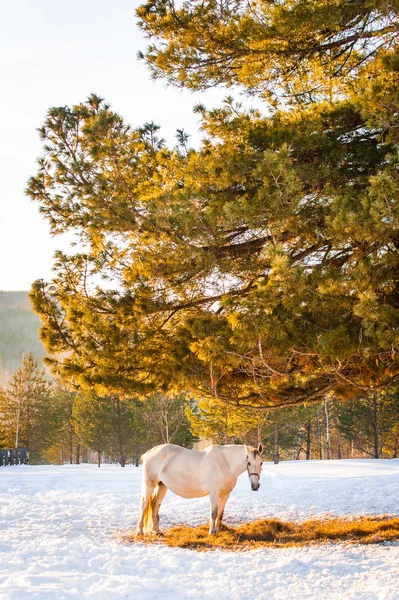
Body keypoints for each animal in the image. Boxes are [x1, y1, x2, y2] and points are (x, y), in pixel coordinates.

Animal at [136, 442, 264, 536]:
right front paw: (212, 532)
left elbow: (220, 514)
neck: (225, 463)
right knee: (144, 505)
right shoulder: (214, 493)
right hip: (149, 485)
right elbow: (214, 513)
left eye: (261, 463)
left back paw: (157, 531)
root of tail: (148, 453)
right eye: (249, 463)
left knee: (155, 505)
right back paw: (140, 531)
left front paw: (218, 531)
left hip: (162, 486)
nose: (255, 486)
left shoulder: (225, 494)